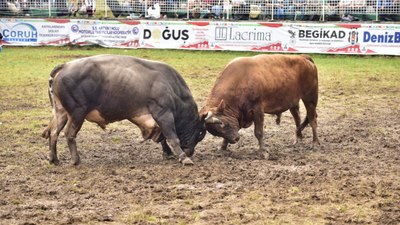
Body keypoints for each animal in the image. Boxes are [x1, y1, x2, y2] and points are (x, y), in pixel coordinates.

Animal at [43, 54, 206, 165]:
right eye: (200, 133)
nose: (190, 152)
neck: (171, 87)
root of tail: (65, 66)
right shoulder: (163, 113)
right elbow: (172, 137)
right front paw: (183, 158)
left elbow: (163, 138)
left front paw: (168, 153)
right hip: (77, 113)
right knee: (69, 133)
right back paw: (76, 160)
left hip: (62, 112)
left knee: (54, 132)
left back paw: (54, 159)